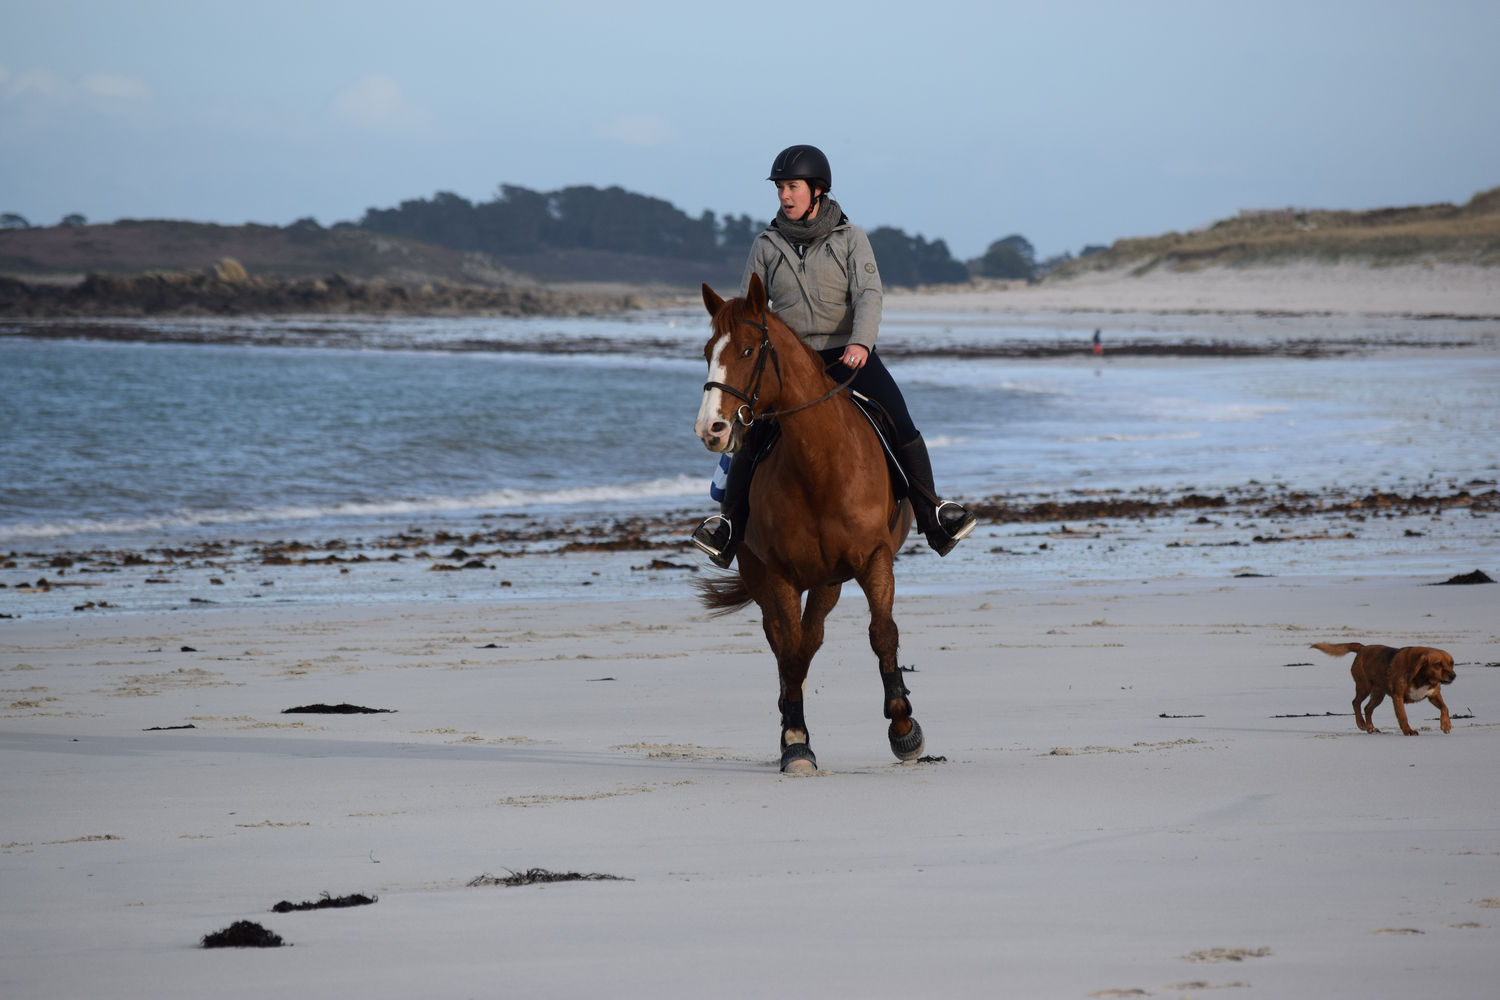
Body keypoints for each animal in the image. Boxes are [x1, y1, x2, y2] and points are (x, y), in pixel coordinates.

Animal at [693, 274, 924, 773]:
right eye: (707, 352)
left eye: (746, 351)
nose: (711, 429)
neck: (821, 465)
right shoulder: (780, 575)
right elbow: (792, 654)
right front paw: (796, 741)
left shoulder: (874, 559)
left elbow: (882, 634)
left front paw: (904, 729)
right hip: (767, 575)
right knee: (786, 643)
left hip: (828, 581)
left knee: (812, 635)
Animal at [1308, 641, 1458, 734]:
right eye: (1438, 664)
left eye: (1452, 663)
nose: (1453, 676)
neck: (1422, 677)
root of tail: (1362, 648)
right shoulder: (1398, 697)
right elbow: (1403, 716)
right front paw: (1408, 731)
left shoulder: (1433, 695)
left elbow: (1445, 707)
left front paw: (1446, 724)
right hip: (1364, 687)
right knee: (1355, 702)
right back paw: (1361, 723)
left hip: (1378, 694)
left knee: (1367, 708)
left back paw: (1371, 728)